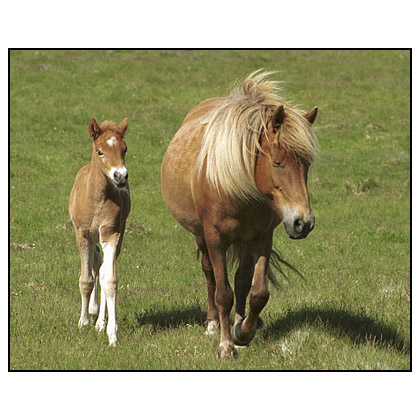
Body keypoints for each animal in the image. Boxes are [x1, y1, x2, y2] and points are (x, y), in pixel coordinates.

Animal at [162, 71, 318, 358]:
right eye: (278, 162)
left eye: (307, 164)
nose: (303, 223)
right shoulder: (215, 239)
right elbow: (223, 292)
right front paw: (225, 345)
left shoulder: (262, 238)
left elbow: (258, 292)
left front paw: (242, 332)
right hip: (201, 237)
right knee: (210, 275)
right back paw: (213, 323)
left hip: (245, 241)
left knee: (242, 281)